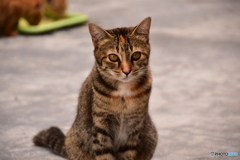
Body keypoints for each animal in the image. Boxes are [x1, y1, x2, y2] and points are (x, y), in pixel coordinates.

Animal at [33, 17, 158, 160]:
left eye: (136, 55)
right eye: (113, 57)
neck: (123, 92)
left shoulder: (134, 126)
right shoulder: (100, 126)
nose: (127, 71)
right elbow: (104, 154)